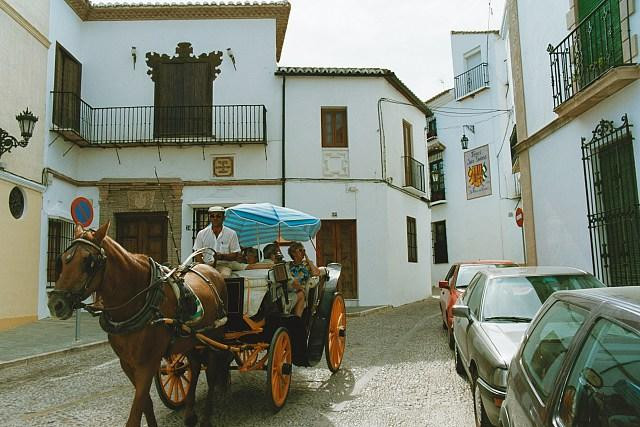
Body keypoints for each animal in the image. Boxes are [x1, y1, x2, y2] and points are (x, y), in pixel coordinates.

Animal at [49, 224, 230, 427]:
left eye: (89, 262)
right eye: (62, 260)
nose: (56, 303)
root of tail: (211, 269)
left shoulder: (148, 363)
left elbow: (136, 411)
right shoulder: (127, 363)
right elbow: (145, 403)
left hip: (214, 336)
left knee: (212, 373)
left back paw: (206, 416)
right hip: (190, 339)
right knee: (196, 366)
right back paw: (190, 414)